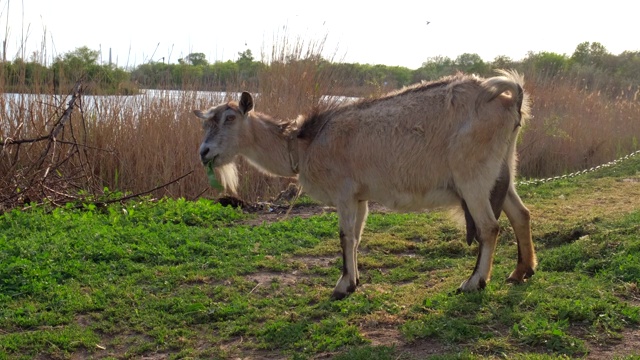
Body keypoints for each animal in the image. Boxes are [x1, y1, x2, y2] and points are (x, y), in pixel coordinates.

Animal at [194, 69, 536, 298]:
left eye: (230, 119)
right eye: (206, 122)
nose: (204, 152)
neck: (304, 144)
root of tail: (510, 99)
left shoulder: (344, 192)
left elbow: (345, 236)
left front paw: (342, 286)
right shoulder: (360, 197)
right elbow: (356, 238)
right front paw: (354, 281)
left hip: (472, 176)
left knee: (489, 227)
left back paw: (474, 282)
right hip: (501, 171)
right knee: (521, 214)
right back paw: (521, 271)